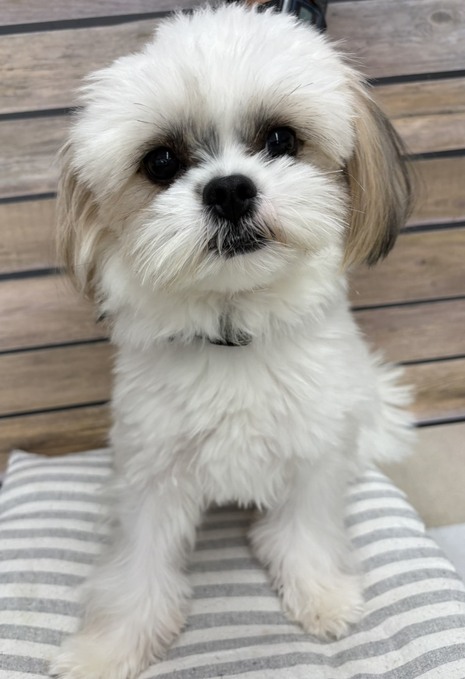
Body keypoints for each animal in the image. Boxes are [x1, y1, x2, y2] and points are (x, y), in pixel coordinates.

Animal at [51, 4, 414, 678]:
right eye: (160, 162)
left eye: (281, 140)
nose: (228, 189)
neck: (235, 334)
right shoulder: (151, 470)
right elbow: (138, 566)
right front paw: (109, 648)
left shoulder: (313, 454)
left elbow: (305, 532)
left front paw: (320, 594)